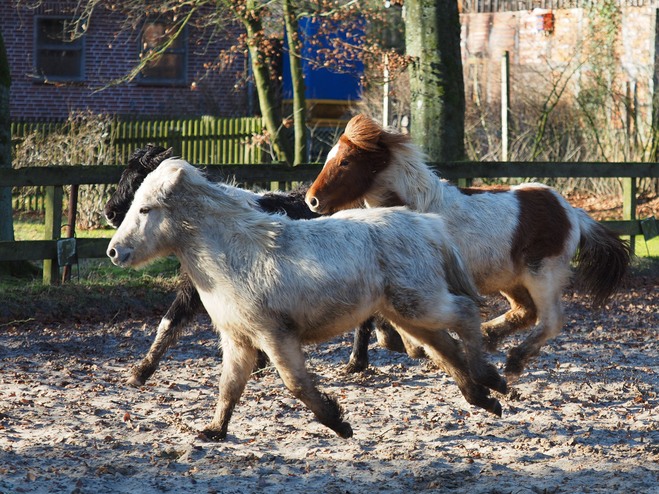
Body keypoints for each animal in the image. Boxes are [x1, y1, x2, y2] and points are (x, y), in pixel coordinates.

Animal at [108, 158, 508, 440]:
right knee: (444, 348)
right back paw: (484, 396)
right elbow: (229, 387)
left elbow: (295, 384)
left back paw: (490, 379)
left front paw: (339, 423)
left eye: (144, 209)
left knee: (464, 315)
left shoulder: (275, 336)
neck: (235, 252)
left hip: (419, 305)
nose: (113, 251)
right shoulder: (238, 340)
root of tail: (428, 225)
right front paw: (214, 431)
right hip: (407, 313)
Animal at [306, 115, 632, 382]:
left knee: (551, 320)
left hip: (542, 273)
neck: (415, 208)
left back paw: (514, 362)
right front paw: (409, 347)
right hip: (509, 278)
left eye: (345, 162)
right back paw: (488, 336)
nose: (312, 200)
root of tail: (571, 211)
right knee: (525, 311)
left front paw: (415, 347)